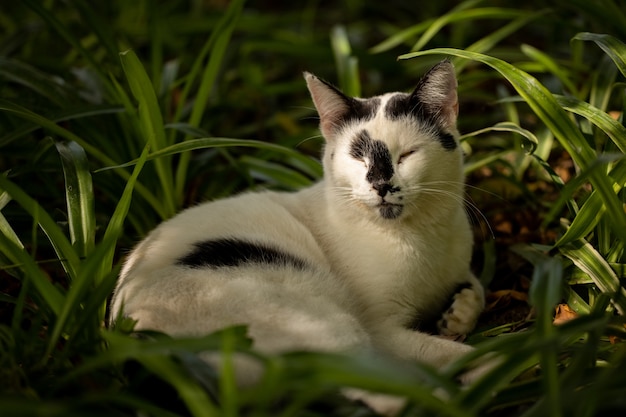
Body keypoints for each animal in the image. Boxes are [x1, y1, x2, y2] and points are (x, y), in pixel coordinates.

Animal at [109, 60, 486, 412]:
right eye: (357, 157)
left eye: (407, 155)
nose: (381, 185)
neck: (421, 237)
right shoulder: (381, 331)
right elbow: (445, 349)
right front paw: (486, 358)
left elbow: (477, 288)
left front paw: (459, 312)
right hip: (323, 327)